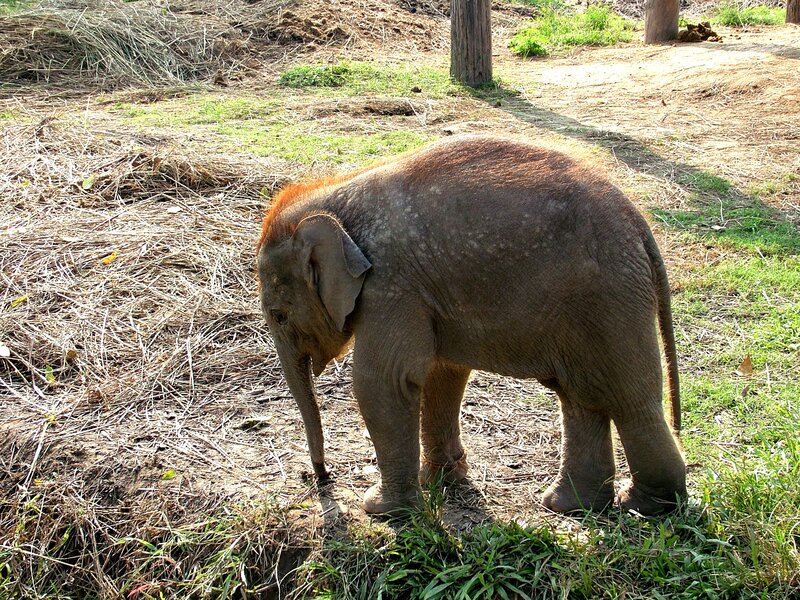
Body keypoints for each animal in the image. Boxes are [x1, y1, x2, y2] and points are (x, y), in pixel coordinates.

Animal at [256, 135, 686, 516]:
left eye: (278, 315)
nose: (322, 477)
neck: (337, 199)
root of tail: (640, 225)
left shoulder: (391, 286)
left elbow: (384, 381)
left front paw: (381, 510)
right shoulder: (426, 293)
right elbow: (442, 372)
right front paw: (441, 482)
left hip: (608, 298)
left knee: (629, 401)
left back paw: (646, 506)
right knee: (581, 398)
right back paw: (569, 506)